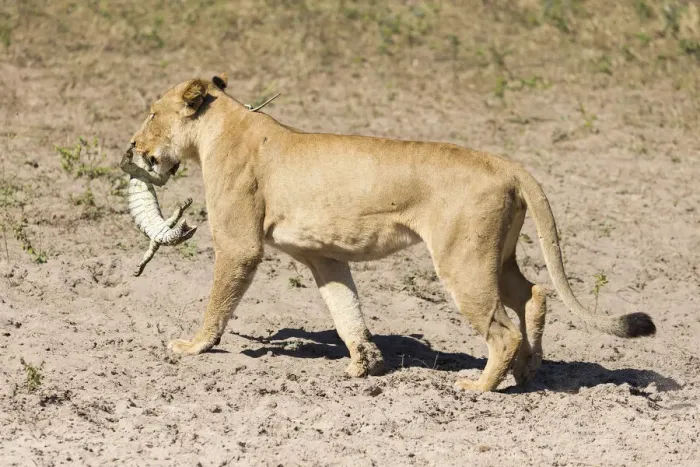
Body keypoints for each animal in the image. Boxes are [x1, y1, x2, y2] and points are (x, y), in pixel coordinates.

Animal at [125, 74, 655, 392]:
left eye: (151, 112)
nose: (131, 148)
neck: (220, 129)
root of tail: (507, 163)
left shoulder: (240, 245)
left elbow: (217, 303)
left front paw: (193, 346)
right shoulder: (325, 257)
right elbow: (347, 312)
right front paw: (364, 364)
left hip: (462, 262)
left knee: (502, 329)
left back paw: (481, 386)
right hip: (495, 257)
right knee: (534, 294)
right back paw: (528, 371)